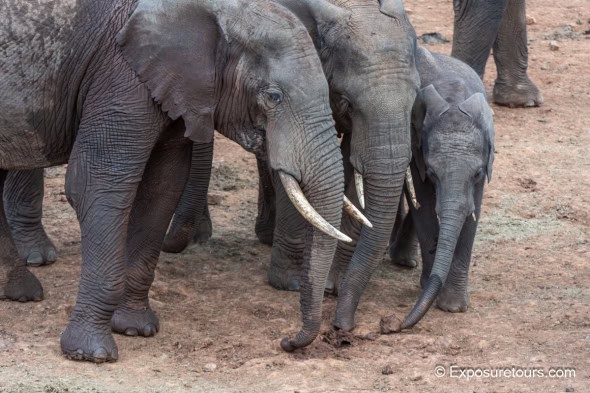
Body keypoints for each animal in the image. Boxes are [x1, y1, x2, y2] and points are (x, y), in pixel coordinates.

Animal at [1, 0, 352, 362]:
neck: (223, 11)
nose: (287, 342)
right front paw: (91, 354)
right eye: (273, 96)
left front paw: (135, 328)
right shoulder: (121, 73)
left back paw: (20, 292)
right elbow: (96, 185)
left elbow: (162, 187)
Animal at [390, 44, 498, 330]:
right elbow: (425, 205)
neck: (454, 97)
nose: (392, 325)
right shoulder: (416, 146)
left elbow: (472, 211)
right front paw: (430, 289)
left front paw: (454, 307)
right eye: (432, 172)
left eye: (478, 173)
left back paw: (405, 260)